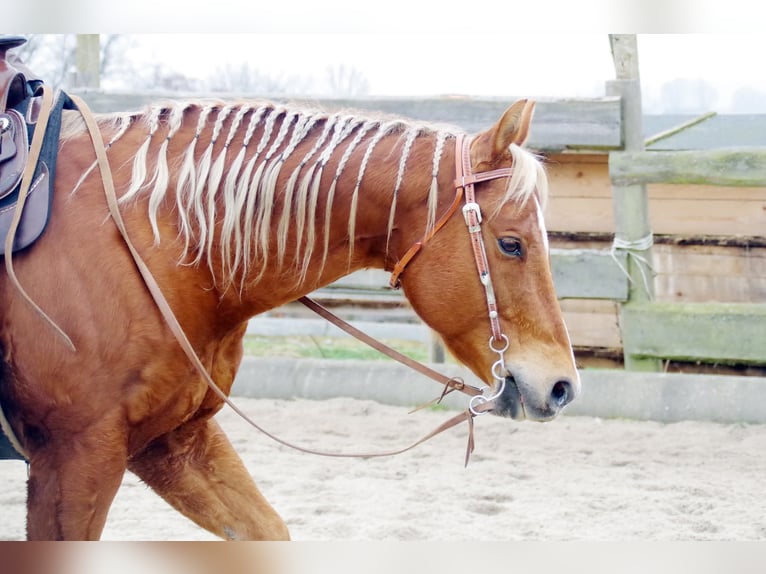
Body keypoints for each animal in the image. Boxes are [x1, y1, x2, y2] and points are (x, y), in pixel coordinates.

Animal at [0, 91, 580, 540]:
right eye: (510, 244)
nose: (562, 387)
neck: (156, 245)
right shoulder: (77, 457)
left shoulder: (171, 439)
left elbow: (266, 530)